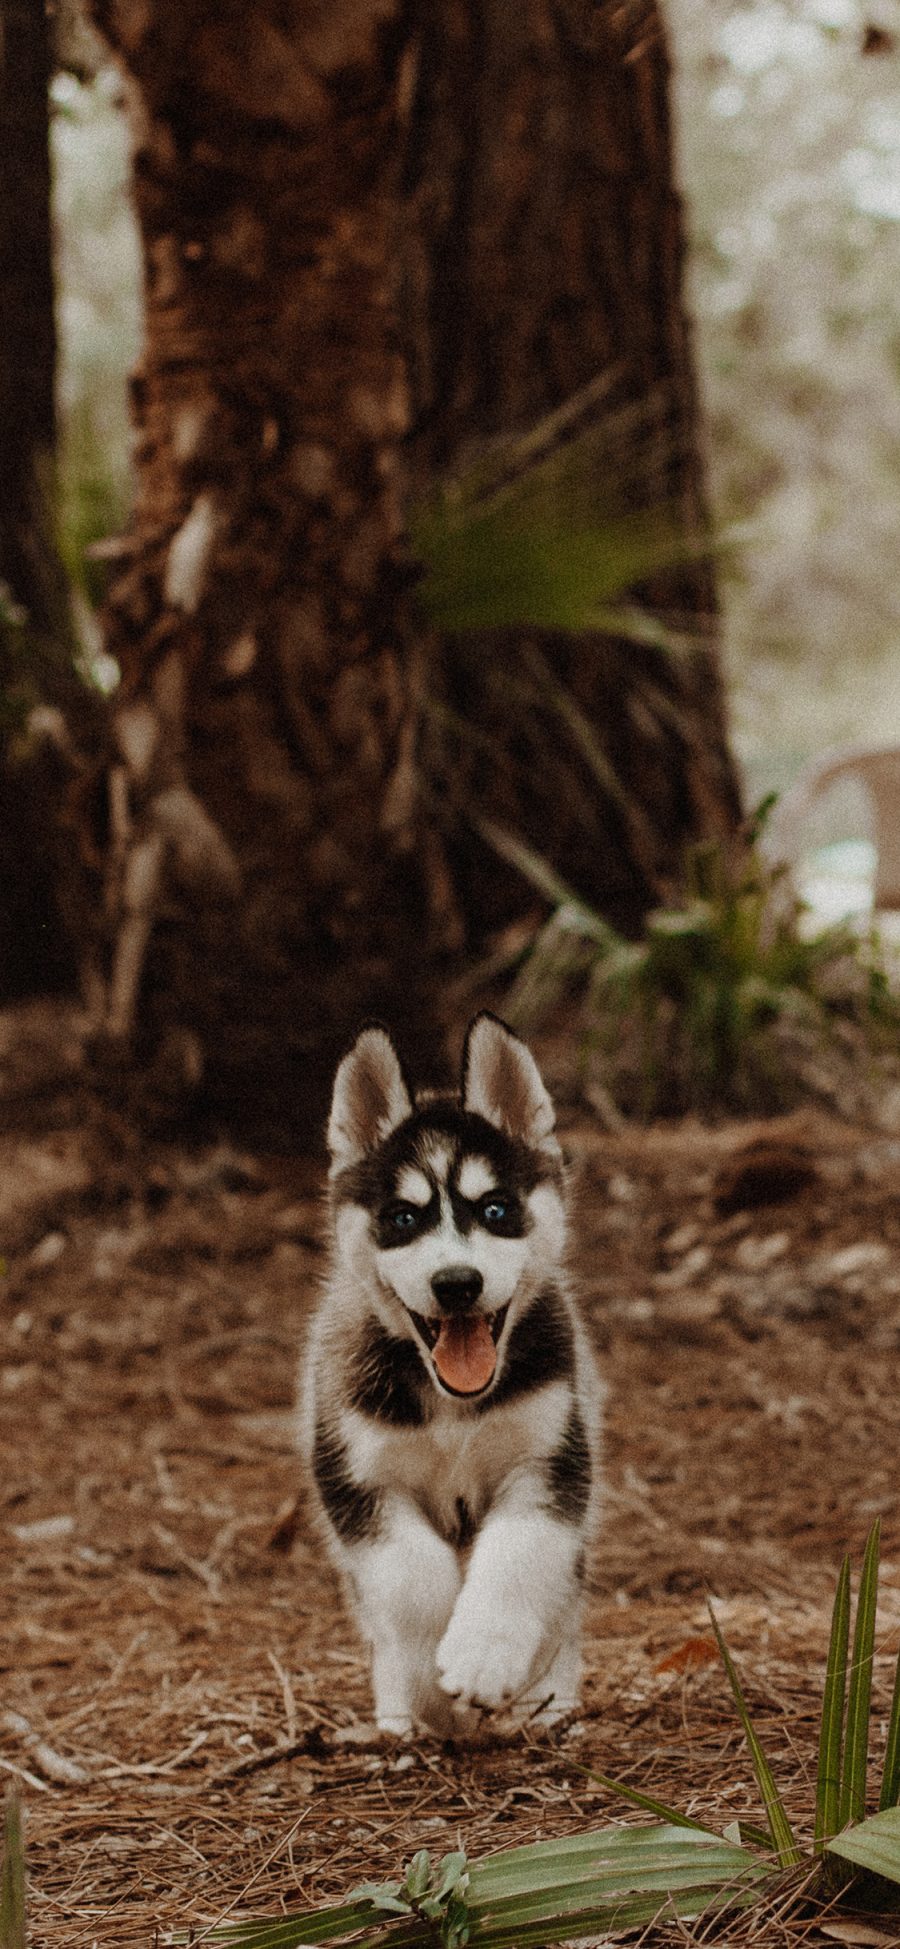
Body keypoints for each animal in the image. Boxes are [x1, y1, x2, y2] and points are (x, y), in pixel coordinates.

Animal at [301, 1013, 603, 1730]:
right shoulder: (359, 1477)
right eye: (402, 1218)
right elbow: (412, 1578)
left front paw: (482, 1658)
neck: (455, 1407)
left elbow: (516, 1557)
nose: (457, 1283)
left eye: (495, 1209)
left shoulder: (549, 1461)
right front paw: (434, 1682)